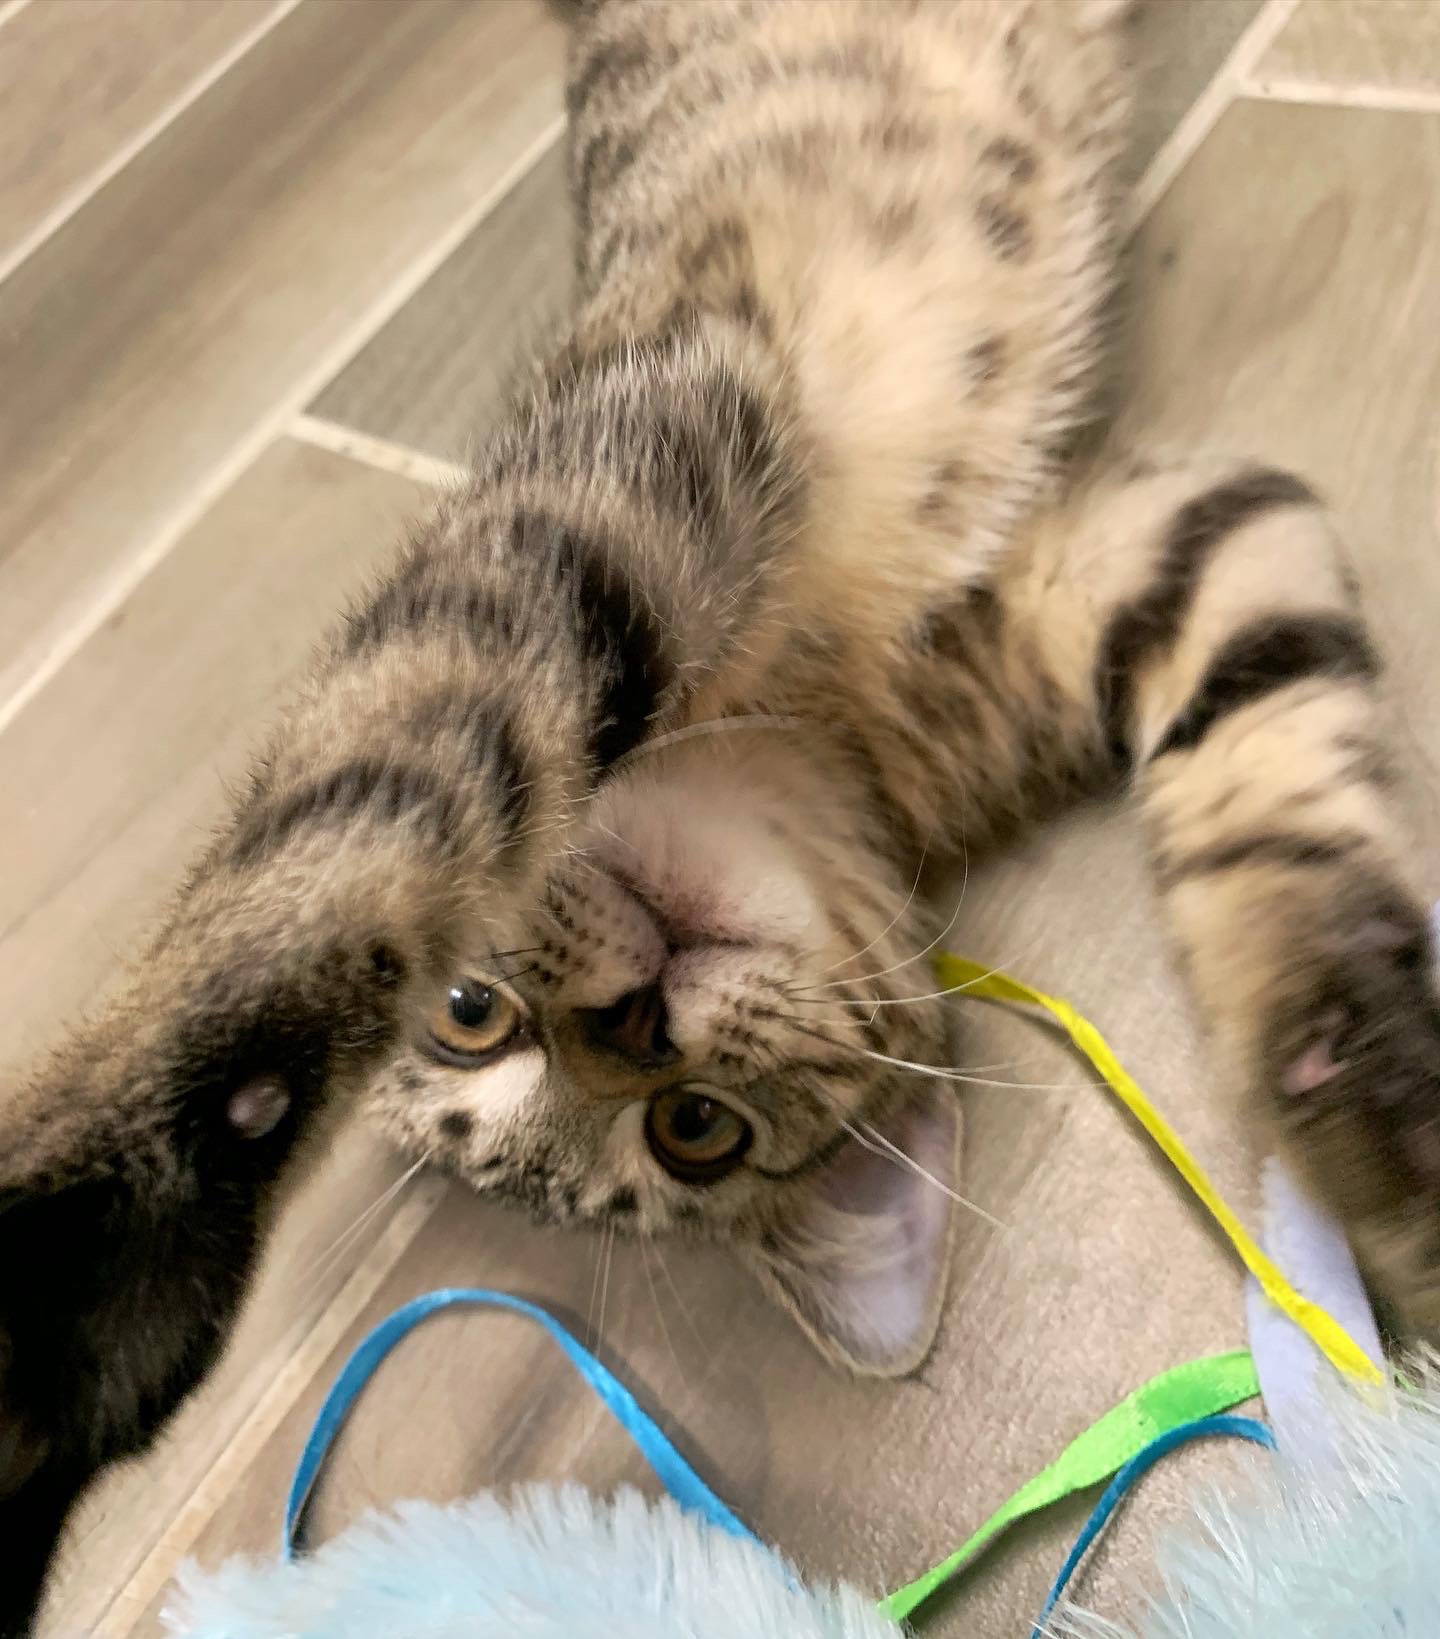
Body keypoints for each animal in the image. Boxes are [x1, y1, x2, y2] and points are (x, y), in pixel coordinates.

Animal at [2, 3, 1440, 1625]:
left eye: (465, 1009)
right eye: (695, 1129)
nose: (631, 1022)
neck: (817, 716)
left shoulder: (626, 463)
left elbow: (359, 822)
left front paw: (80, 1278)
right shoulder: (1154, 542)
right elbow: (1270, 780)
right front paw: (1370, 1131)